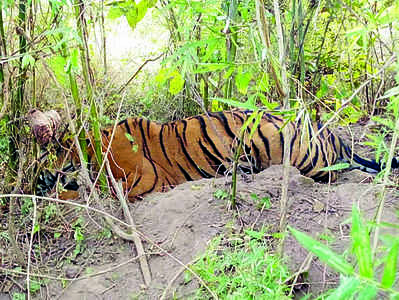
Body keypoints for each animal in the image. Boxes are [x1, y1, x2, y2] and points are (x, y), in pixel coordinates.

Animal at [37, 109, 399, 200]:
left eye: (53, 155)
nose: (40, 175)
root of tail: (333, 134)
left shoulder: (142, 179)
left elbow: (88, 194)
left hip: (294, 149)